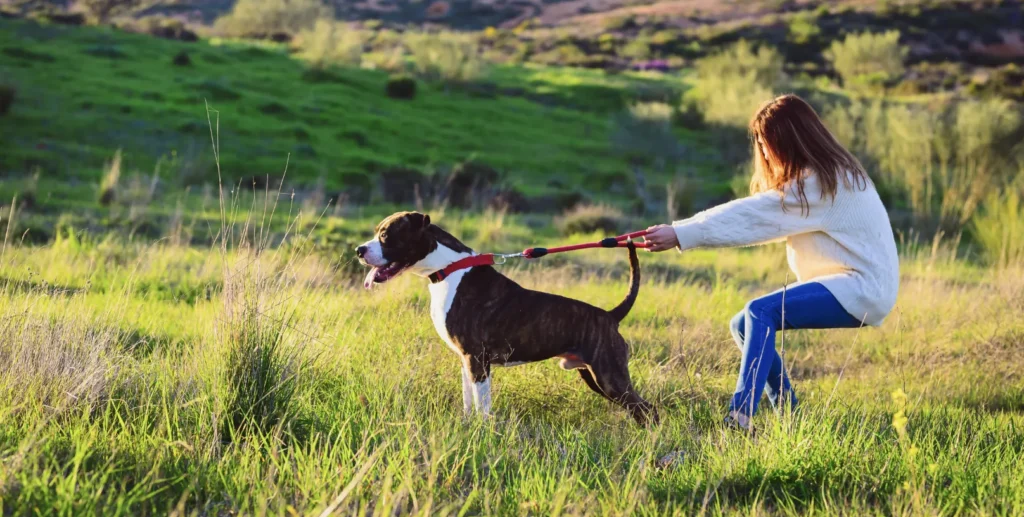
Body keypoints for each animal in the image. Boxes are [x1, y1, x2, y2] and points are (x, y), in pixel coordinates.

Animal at [356, 211, 659, 425]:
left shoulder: (477, 359)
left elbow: (483, 406)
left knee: (648, 410)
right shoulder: (466, 361)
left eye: (386, 235)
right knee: (640, 411)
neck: (450, 268)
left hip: (610, 377)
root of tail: (610, 316)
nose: (359, 250)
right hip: (595, 376)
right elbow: (469, 403)